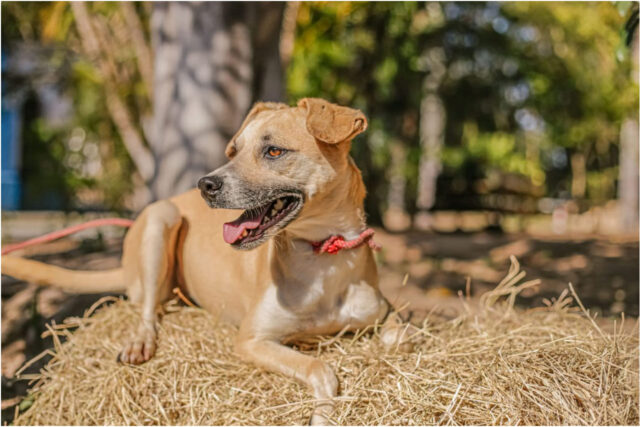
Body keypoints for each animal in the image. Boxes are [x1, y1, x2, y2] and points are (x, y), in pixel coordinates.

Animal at [1, 99, 400, 424]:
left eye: (273, 151)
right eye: (234, 150)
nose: (205, 184)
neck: (323, 254)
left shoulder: (386, 313)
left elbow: (399, 337)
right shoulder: (252, 340)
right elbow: (322, 368)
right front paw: (322, 414)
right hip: (160, 218)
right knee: (147, 309)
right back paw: (141, 341)